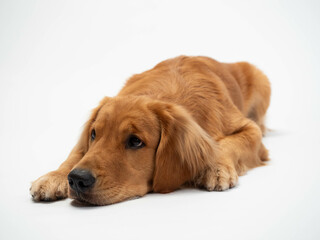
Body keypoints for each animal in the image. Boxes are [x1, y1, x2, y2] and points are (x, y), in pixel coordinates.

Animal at [29, 55, 270, 204]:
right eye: (94, 134)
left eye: (135, 141)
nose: (78, 179)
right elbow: (76, 154)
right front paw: (54, 177)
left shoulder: (250, 131)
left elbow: (229, 144)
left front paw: (217, 168)